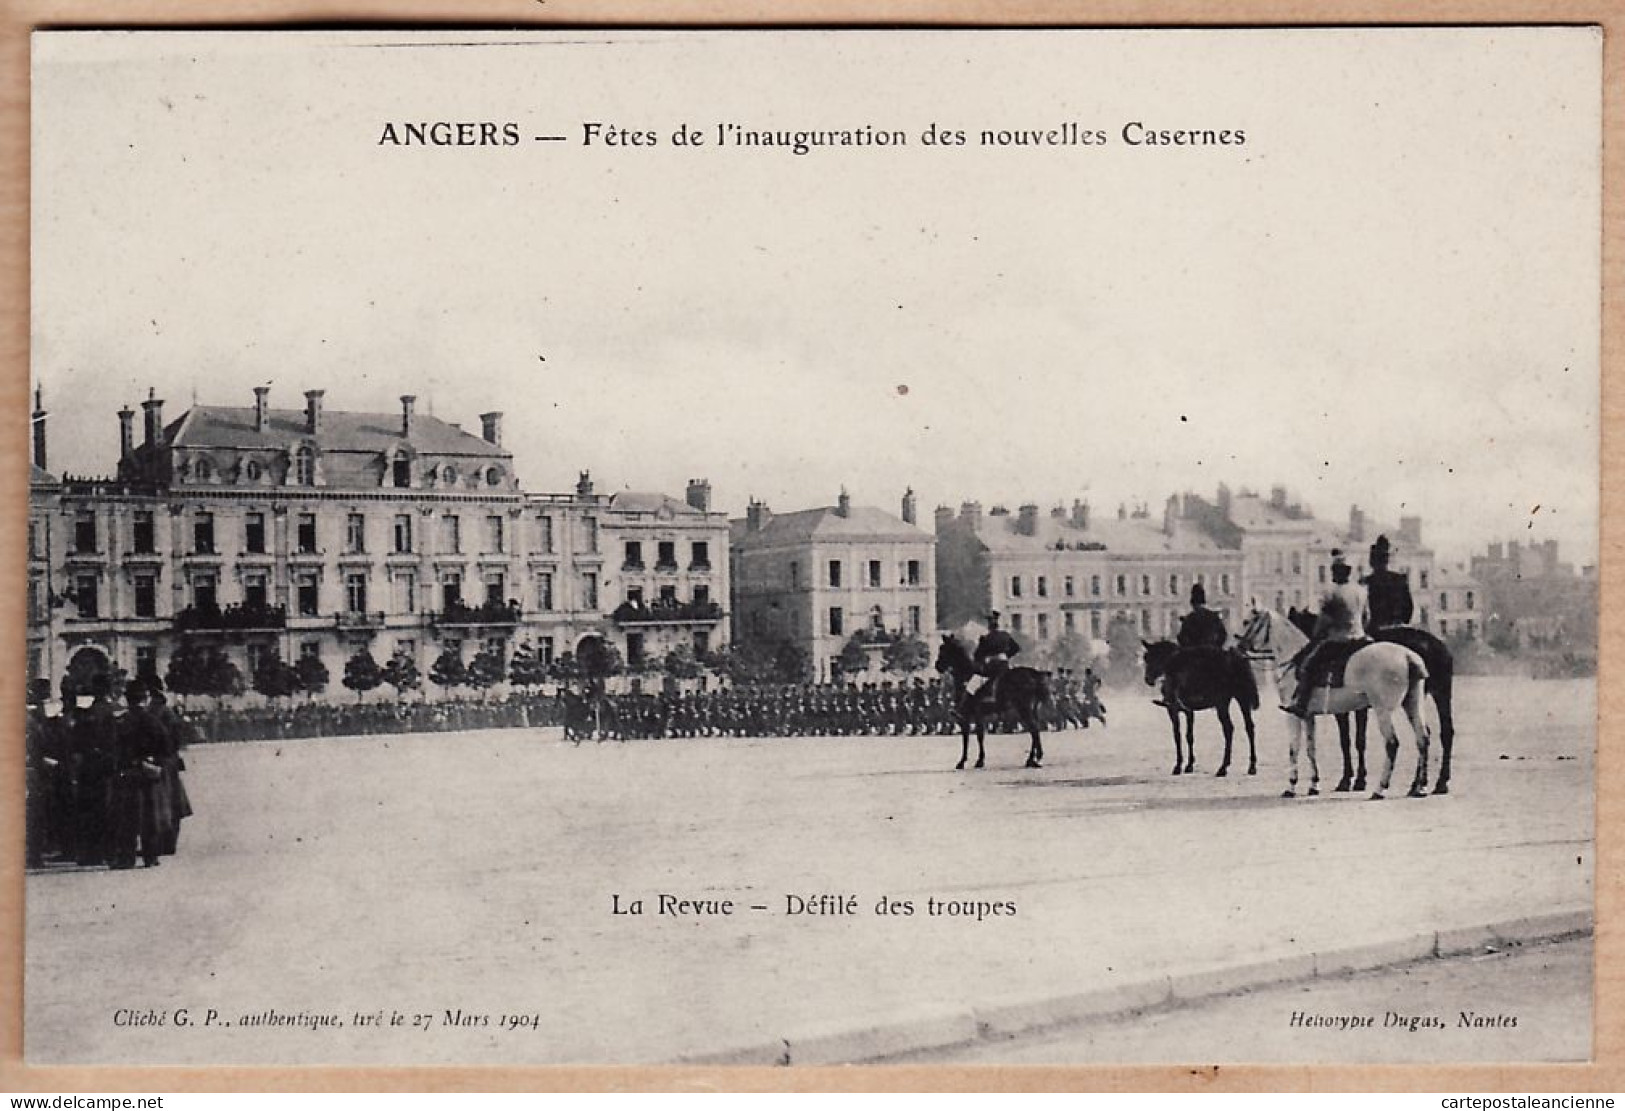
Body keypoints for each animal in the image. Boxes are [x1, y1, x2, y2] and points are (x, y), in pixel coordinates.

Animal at [929, 636, 1053, 766]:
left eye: (943, 649)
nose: (937, 665)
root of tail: (1034, 674)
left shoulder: (973, 715)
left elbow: (977, 736)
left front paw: (977, 761)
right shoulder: (967, 717)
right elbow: (967, 738)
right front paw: (964, 761)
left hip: (1024, 709)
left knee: (1033, 729)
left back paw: (1034, 758)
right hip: (1031, 709)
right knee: (1035, 729)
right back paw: (1033, 758)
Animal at [1144, 636, 1254, 776]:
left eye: (1156, 658)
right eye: (1146, 658)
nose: (1148, 679)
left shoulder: (1173, 709)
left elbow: (1178, 736)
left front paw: (1178, 766)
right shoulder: (1188, 711)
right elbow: (1189, 736)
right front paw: (1189, 765)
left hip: (1223, 703)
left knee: (1229, 729)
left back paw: (1223, 768)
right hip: (1239, 700)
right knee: (1248, 727)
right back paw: (1251, 767)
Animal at [1235, 607, 1430, 799]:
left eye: (1247, 622)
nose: (1238, 647)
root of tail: (1408, 656)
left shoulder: (1293, 716)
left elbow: (1294, 749)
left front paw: (1291, 787)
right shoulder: (1308, 716)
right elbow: (1311, 748)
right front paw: (1314, 785)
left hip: (1382, 710)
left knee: (1392, 743)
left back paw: (1380, 789)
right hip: (1412, 705)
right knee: (1423, 739)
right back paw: (1420, 788)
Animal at [1287, 607, 1469, 789]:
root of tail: (1438, 646)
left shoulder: (1346, 710)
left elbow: (1350, 740)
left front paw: (1352, 779)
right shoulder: (1358, 707)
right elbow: (1356, 740)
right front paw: (1356, 778)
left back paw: (1428, 782)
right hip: (1438, 693)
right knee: (1442, 732)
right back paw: (1434, 782)